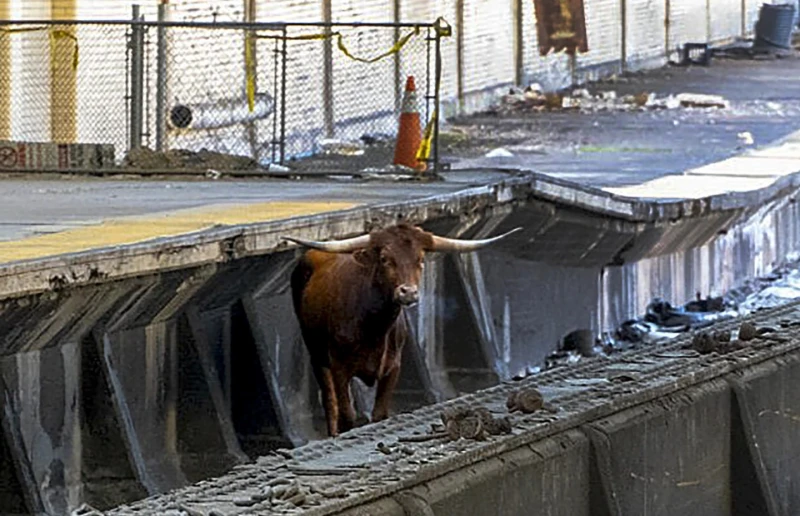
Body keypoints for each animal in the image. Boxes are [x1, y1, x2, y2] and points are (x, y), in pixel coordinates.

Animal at [282, 222, 520, 436]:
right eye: (385, 259)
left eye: (420, 259)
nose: (408, 292)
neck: (373, 327)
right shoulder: (340, 366)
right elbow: (346, 415)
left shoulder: (392, 367)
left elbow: (379, 414)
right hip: (317, 355)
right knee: (330, 402)